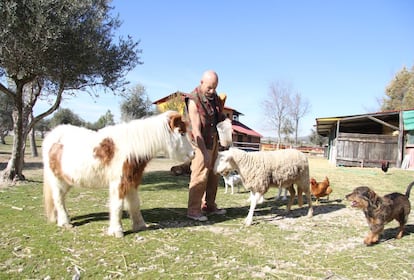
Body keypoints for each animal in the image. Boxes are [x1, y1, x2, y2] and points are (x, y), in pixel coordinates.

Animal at [42, 110, 195, 237]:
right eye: (181, 132)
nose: (193, 153)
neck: (131, 149)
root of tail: (52, 136)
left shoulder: (132, 180)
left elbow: (134, 203)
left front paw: (140, 225)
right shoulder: (119, 182)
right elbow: (117, 205)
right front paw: (117, 231)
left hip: (67, 180)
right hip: (57, 180)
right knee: (58, 199)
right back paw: (65, 222)